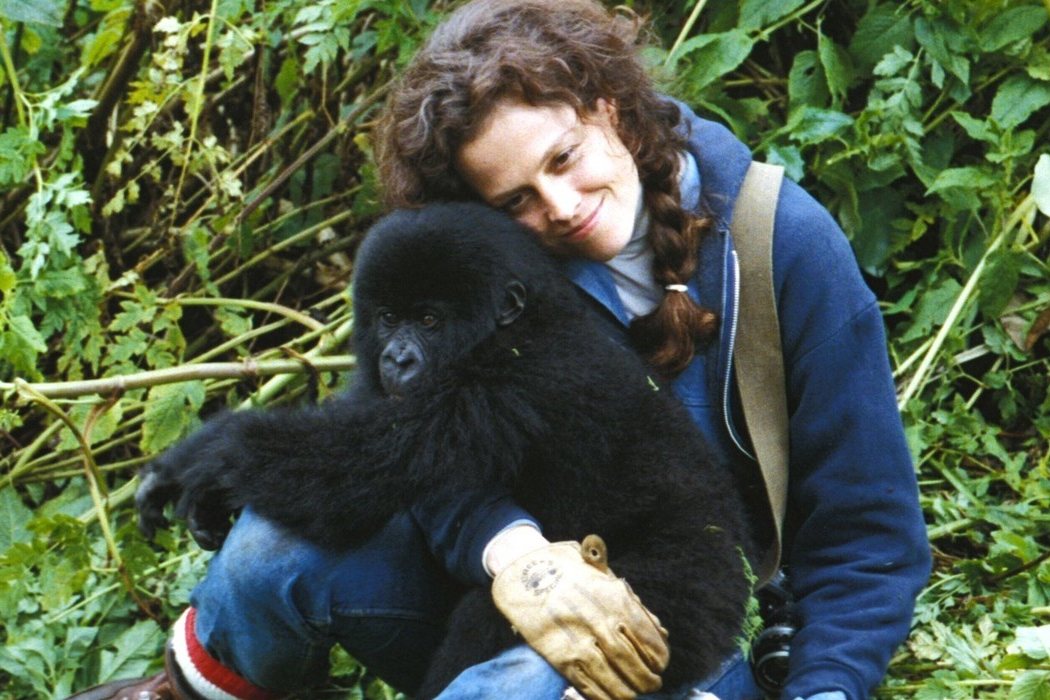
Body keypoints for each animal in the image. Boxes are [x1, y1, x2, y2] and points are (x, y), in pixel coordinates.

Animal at [135, 201, 751, 696]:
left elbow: (358, 466)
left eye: (429, 320)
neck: (524, 322)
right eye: (389, 318)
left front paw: (204, 456)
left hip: (685, 604)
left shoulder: (516, 379)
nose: (398, 359)